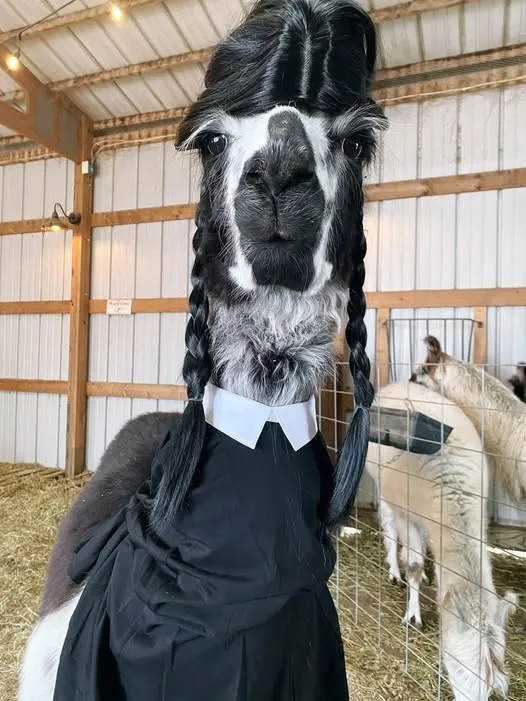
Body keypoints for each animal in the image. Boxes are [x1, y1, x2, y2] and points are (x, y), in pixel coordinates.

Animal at [366, 381, 518, 701]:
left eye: (491, 690)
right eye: (457, 671)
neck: (452, 489)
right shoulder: (408, 509)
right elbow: (411, 563)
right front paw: (413, 615)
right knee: (389, 525)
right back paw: (394, 570)